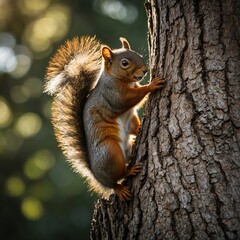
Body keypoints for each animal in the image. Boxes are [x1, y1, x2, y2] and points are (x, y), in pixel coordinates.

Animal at [44, 36, 165, 201]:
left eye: (138, 55)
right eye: (125, 63)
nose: (145, 70)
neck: (118, 79)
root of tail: (97, 176)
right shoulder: (114, 95)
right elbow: (131, 98)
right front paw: (151, 85)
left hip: (128, 128)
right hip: (110, 152)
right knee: (116, 180)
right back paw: (125, 177)